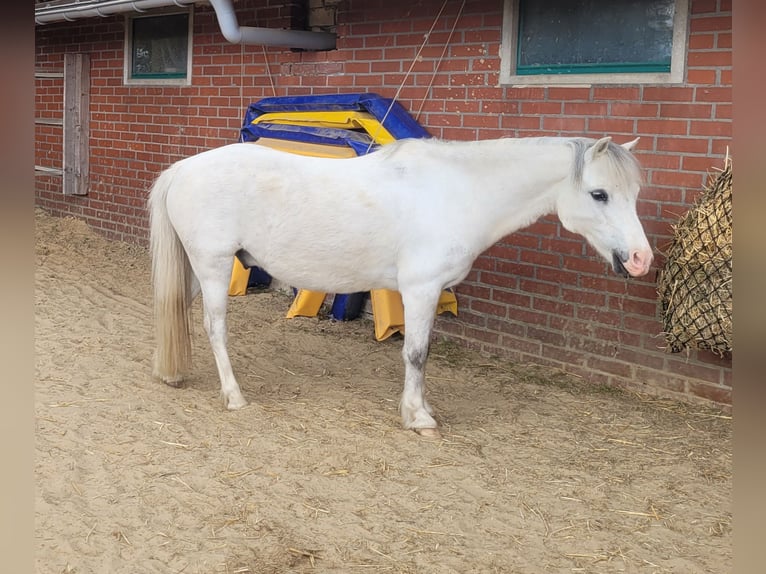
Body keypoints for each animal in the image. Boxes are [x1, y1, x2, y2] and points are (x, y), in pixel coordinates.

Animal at [149, 135, 653, 438]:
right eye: (599, 194)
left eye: (634, 194)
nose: (641, 259)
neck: (457, 192)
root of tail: (182, 169)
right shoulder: (420, 289)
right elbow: (416, 353)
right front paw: (419, 416)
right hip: (214, 267)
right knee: (215, 330)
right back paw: (234, 396)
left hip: (196, 270)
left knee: (174, 312)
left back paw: (171, 374)